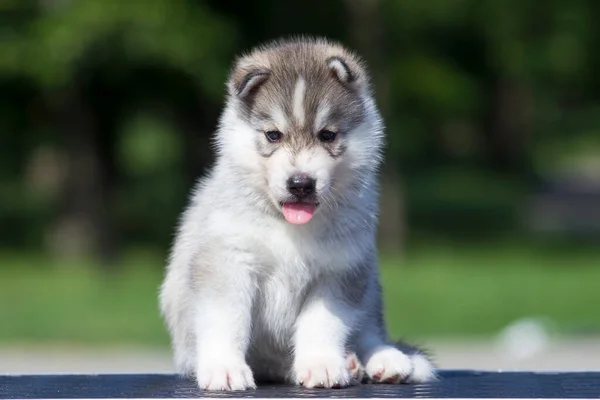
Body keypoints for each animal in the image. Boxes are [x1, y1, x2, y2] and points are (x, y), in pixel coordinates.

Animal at [157, 36, 434, 390]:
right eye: (273, 135)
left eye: (327, 135)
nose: (301, 183)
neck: (289, 228)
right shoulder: (228, 262)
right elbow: (227, 320)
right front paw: (225, 368)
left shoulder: (339, 270)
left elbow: (322, 323)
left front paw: (321, 364)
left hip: (368, 283)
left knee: (370, 331)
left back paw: (382, 359)